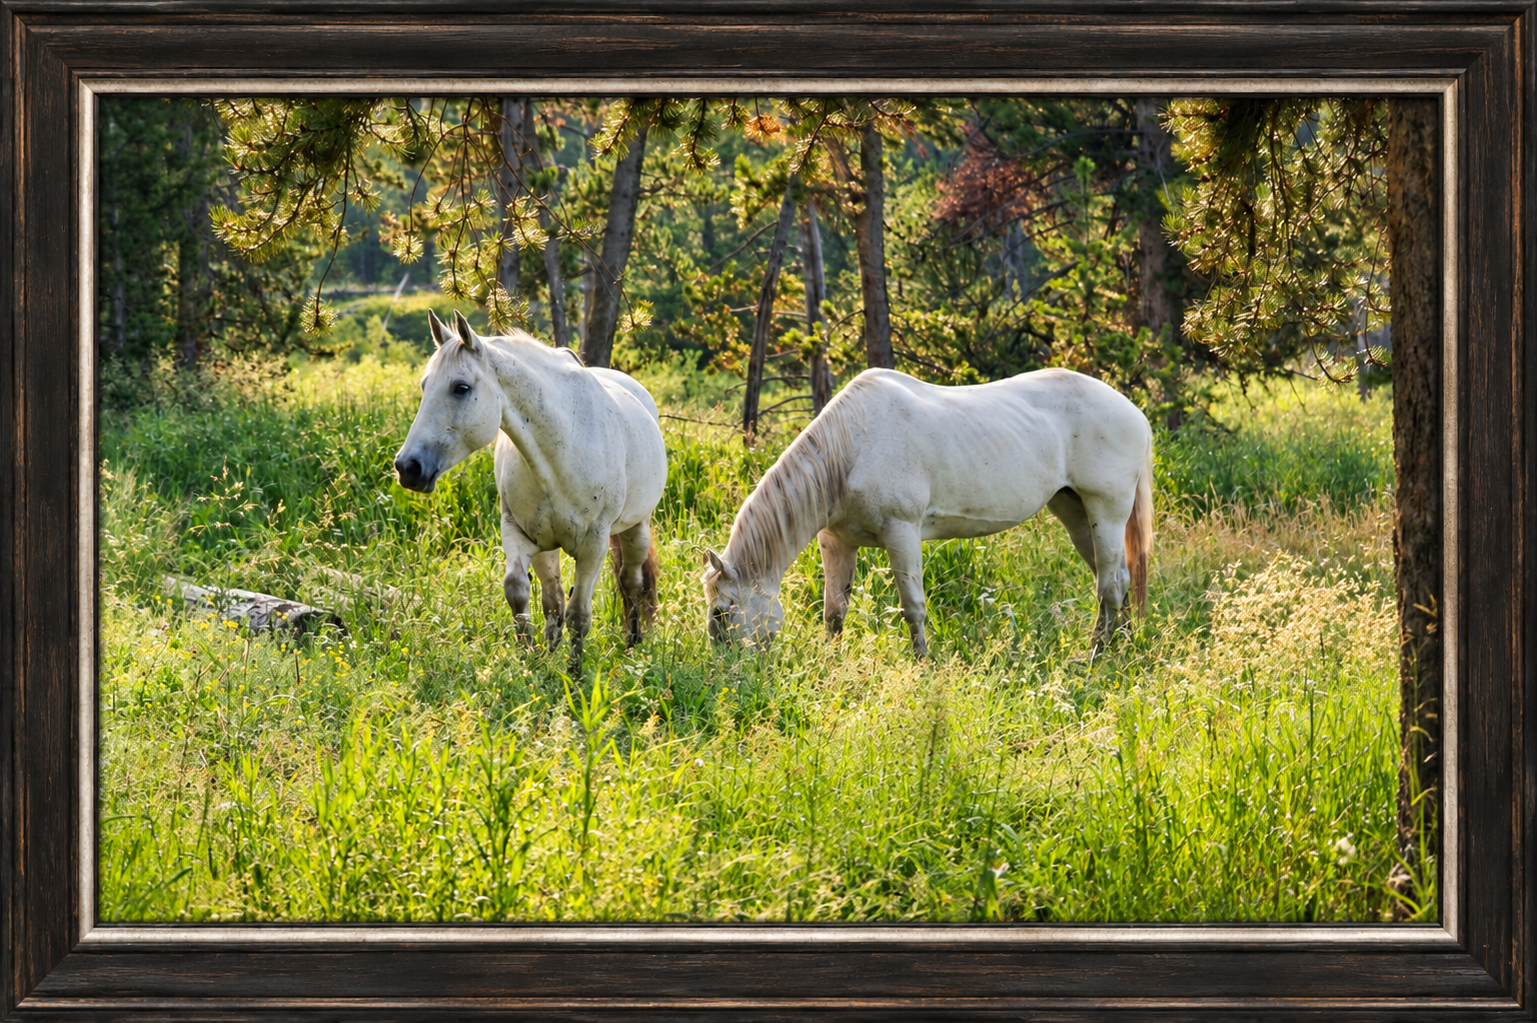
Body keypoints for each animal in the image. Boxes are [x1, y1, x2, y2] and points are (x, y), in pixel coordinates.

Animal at [394, 310, 667, 669]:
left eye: (461, 388)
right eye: (425, 386)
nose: (408, 467)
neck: (562, 444)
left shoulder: (593, 545)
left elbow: (579, 614)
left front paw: (574, 673)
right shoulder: (518, 531)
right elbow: (520, 591)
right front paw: (532, 659)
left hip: (636, 528)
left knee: (630, 582)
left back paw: (632, 645)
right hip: (549, 546)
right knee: (554, 597)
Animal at [702, 367, 1153, 658]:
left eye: (723, 612)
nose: (727, 671)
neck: (849, 450)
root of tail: (1135, 413)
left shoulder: (901, 534)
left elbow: (912, 607)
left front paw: (923, 665)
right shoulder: (836, 543)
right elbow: (834, 612)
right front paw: (830, 666)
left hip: (1107, 511)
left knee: (1110, 584)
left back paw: (1098, 655)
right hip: (1075, 511)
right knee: (1117, 578)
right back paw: (1122, 645)